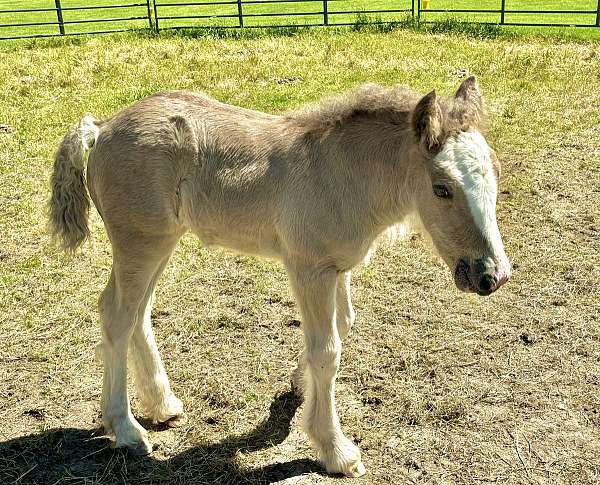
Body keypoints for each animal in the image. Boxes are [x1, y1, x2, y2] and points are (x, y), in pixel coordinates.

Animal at [50, 76, 510, 476]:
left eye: (495, 173)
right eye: (441, 188)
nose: (492, 275)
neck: (343, 174)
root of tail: (102, 128)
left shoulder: (337, 268)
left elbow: (341, 327)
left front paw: (299, 385)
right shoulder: (310, 269)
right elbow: (328, 351)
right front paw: (335, 450)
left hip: (162, 241)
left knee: (139, 314)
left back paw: (163, 405)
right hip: (139, 242)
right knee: (117, 316)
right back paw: (126, 430)